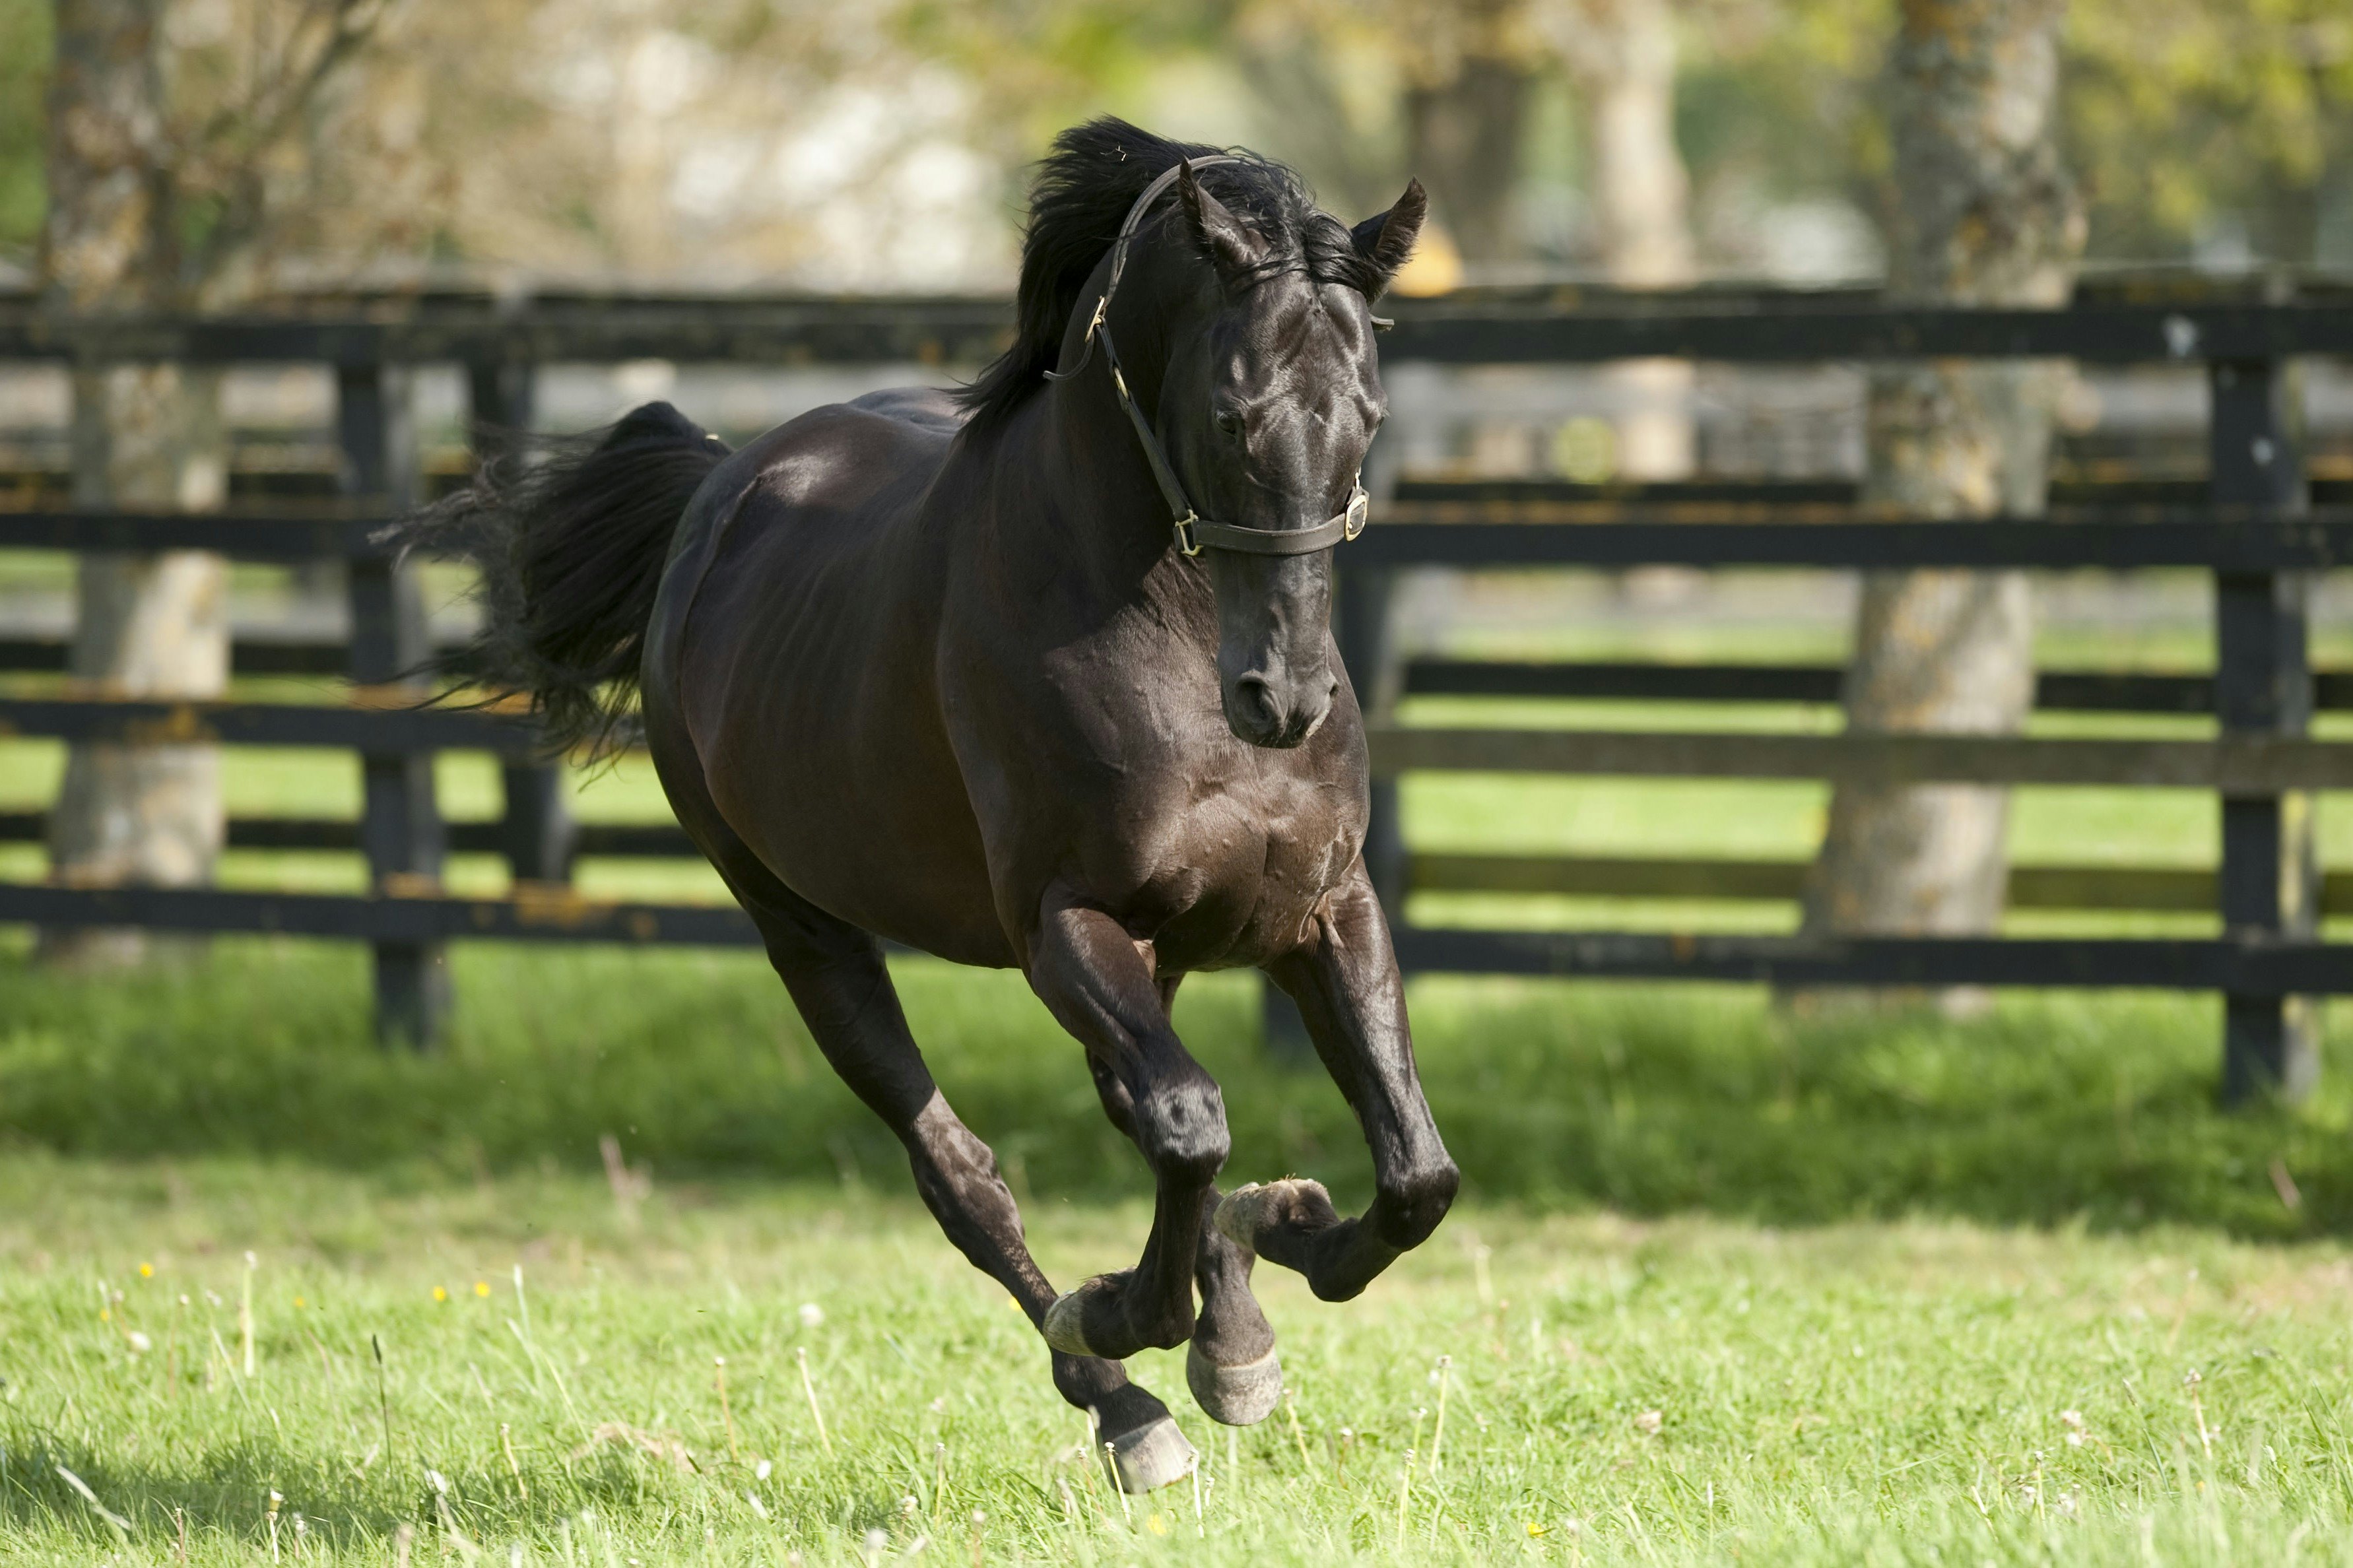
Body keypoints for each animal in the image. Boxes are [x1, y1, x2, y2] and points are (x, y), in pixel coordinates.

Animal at [414, 122, 1459, 1487]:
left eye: (1370, 416)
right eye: (1233, 411)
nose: (1280, 697)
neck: (1163, 632)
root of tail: (716, 489)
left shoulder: (1318, 912)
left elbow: (1411, 1172)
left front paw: (1282, 1238)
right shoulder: (1063, 925)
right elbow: (1189, 1125)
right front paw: (1133, 1312)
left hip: (1147, 955)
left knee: (1139, 1114)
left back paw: (1223, 1318)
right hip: (805, 934)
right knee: (966, 1176)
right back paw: (1128, 1406)